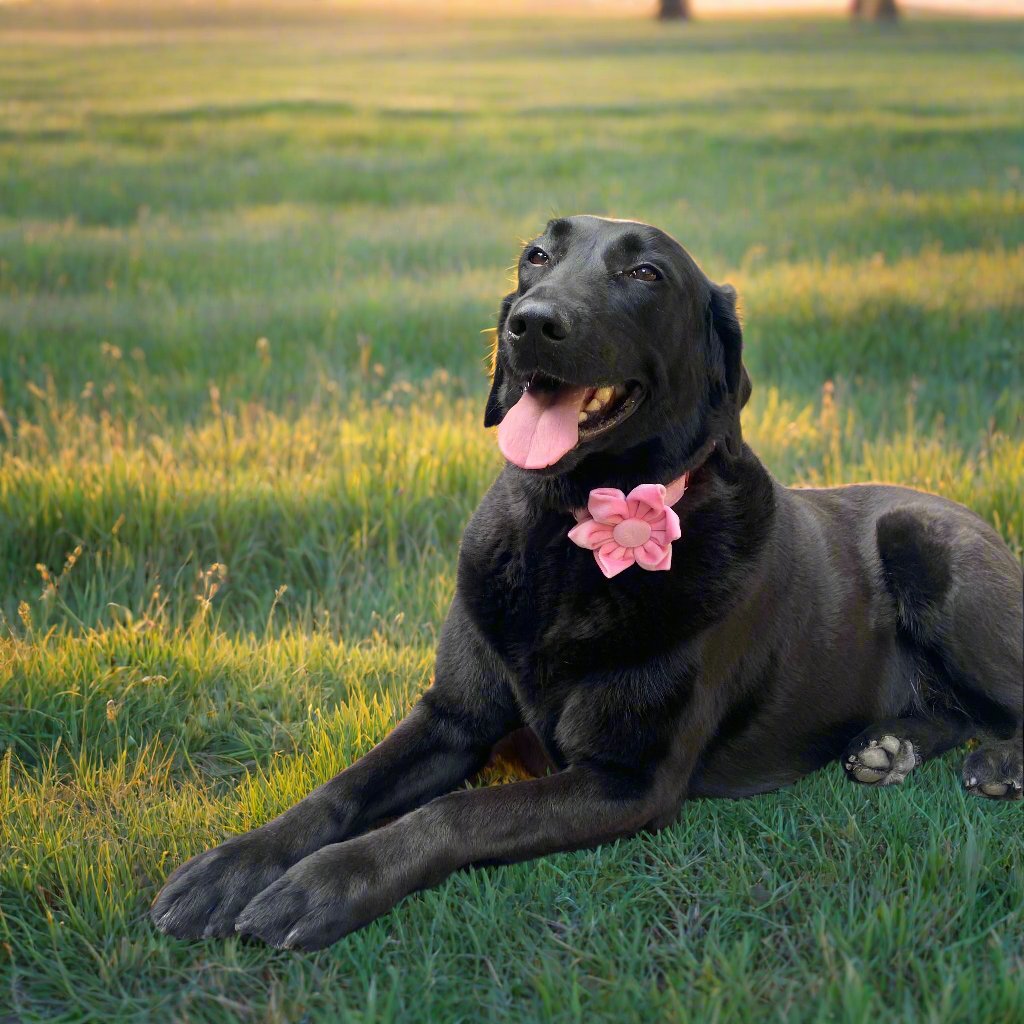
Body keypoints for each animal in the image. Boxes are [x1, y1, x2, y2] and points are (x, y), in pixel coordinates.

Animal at [153, 214, 1024, 950]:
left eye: (644, 272)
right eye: (537, 256)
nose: (531, 322)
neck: (567, 531)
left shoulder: (625, 778)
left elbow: (457, 811)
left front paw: (327, 884)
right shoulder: (451, 716)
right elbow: (339, 789)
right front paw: (234, 865)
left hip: (926, 543)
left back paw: (997, 767)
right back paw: (890, 749)